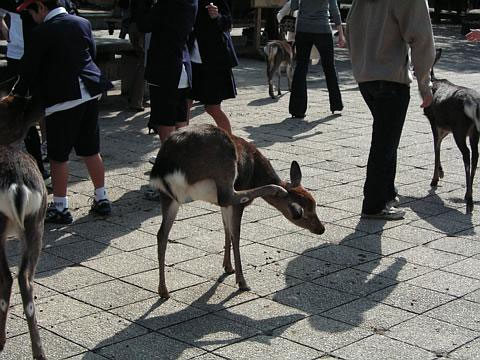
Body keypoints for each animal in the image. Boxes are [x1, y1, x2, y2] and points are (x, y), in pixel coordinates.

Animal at [148, 124, 324, 298]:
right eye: (299, 213)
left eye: (315, 204)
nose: (321, 229)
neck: (257, 174)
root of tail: (165, 165)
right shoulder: (235, 205)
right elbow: (235, 234)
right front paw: (241, 281)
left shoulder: (223, 207)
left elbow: (226, 229)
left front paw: (228, 267)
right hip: (224, 167)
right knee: (229, 196)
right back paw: (276, 189)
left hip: (168, 196)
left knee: (162, 234)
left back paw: (163, 290)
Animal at [424, 50, 480, 214]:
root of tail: (473, 103)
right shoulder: (444, 128)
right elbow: (438, 146)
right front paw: (441, 172)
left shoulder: (434, 121)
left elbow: (436, 148)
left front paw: (435, 179)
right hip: (474, 131)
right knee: (475, 155)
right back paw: (469, 195)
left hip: (459, 129)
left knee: (467, 155)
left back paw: (469, 200)